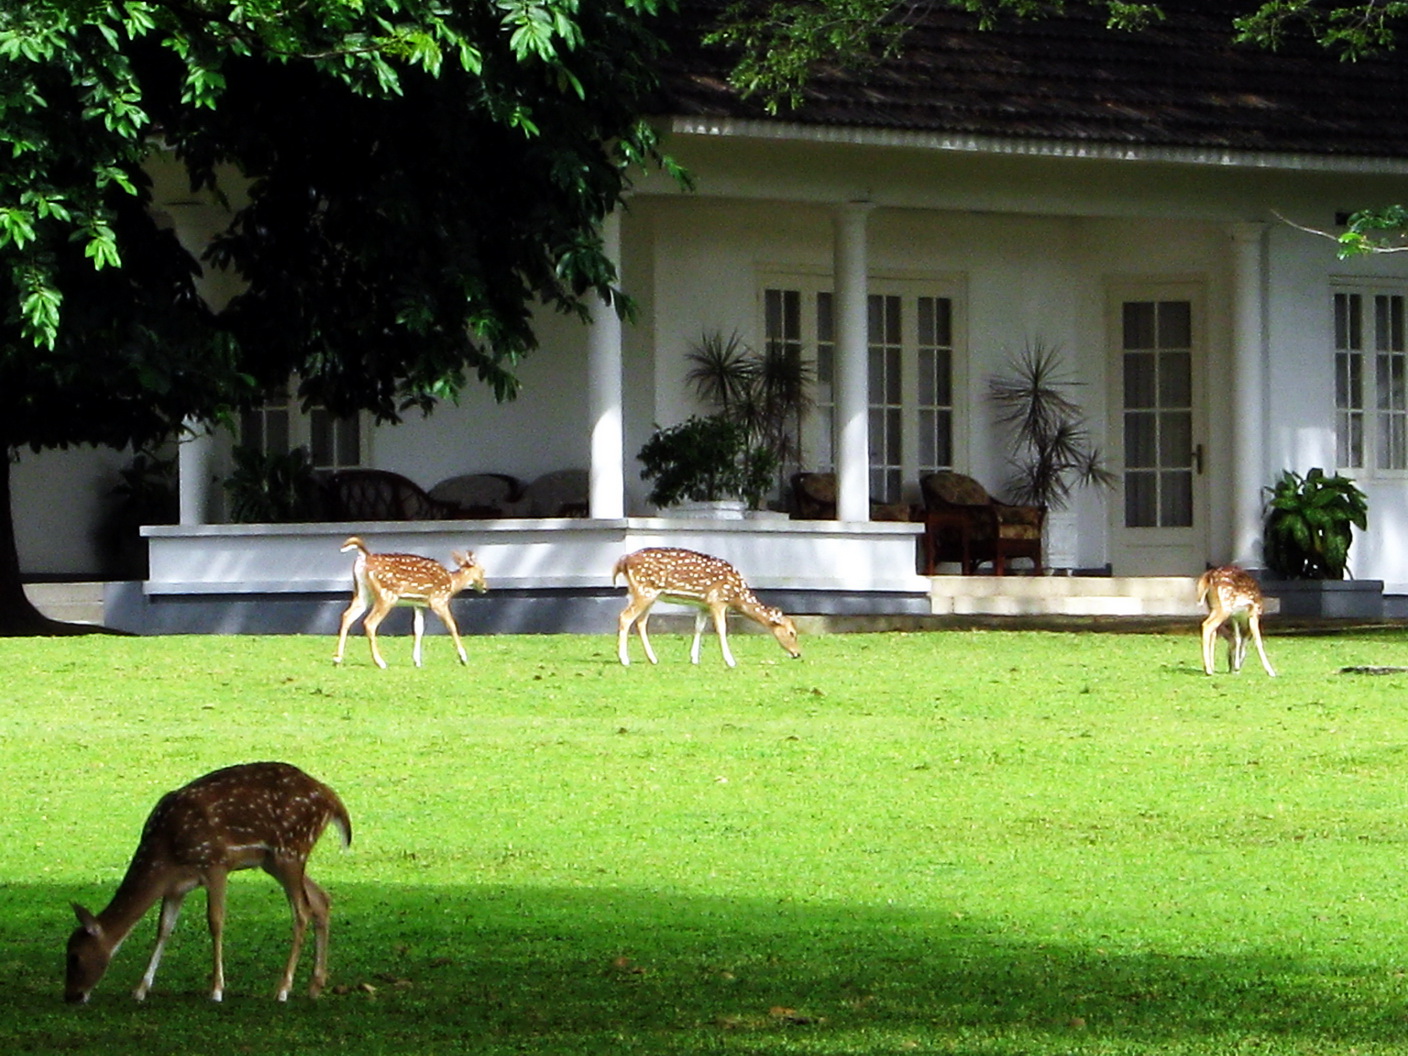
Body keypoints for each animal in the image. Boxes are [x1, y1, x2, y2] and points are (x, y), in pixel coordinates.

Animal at [64, 765, 352, 1002]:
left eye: (75, 956)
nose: (72, 996)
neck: (167, 854)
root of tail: (332, 799)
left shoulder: (216, 863)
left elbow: (215, 921)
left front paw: (216, 990)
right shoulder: (176, 887)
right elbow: (164, 928)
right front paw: (141, 989)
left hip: (291, 850)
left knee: (302, 911)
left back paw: (283, 989)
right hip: (273, 860)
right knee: (321, 899)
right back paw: (315, 986)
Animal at [332, 537, 487, 670]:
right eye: (482, 570)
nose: (485, 587)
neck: (452, 583)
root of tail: (364, 557)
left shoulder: (419, 604)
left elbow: (418, 629)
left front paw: (417, 661)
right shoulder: (438, 600)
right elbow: (452, 625)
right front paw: (463, 658)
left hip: (362, 593)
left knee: (347, 615)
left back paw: (337, 659)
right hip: (386, 595)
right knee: (369, 622)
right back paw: (380, 662)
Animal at [611, 546, 799, 670]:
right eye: (791, 633)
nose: (798, 654)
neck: (736, 594)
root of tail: (623, 560)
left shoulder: (703, 604)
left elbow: (699, 627)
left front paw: (694, 658)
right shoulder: (717, 601)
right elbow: (722, 629)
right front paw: (730, 661)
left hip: (649, 595)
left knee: (641, 622)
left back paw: (653, 659)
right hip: (644, 591)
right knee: (625, 617)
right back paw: (624, 660)